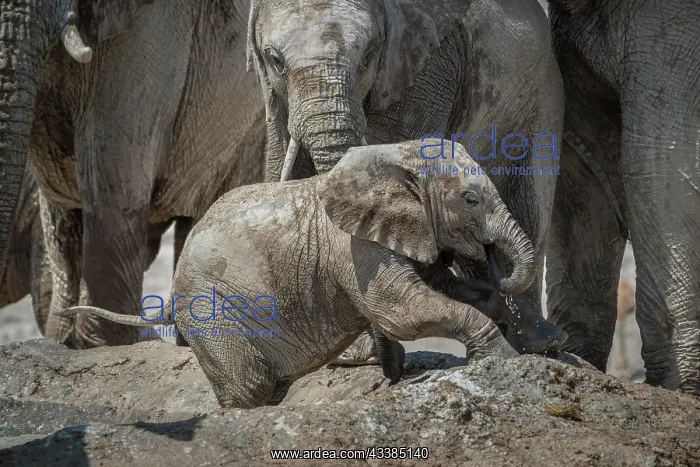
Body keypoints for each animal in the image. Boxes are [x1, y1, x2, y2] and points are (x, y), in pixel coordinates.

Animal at [59, 140, 568, 408]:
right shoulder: (354, 246)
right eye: (470, 199)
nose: (490, 253)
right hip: (209, 309)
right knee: (248, 386)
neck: (399, 155)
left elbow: (444, 288)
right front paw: (502, 360)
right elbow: (402, 310)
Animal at [246, 0, 565, 363]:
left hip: (541, 98)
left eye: (370, 55)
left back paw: (540, 343)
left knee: (526, 204)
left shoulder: (425, 67)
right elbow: (282, 158)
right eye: (275, 60)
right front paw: (351, 355)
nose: (388, 361)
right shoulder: (272, 92)